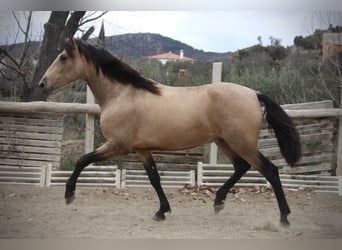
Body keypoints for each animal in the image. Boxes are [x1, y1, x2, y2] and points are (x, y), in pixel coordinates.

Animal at [38, 38, 302, 226]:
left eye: (63, 57)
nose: (42, 83)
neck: (122, 95)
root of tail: (254, 94)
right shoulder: (142, 149)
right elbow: (154, 178)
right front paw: (162, 211)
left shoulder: (118, 145)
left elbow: (82, 160)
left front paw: (69, 195)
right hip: (224, 141)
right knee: (241, 167)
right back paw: (218, 202)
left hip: (242, 143)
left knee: (270, 170)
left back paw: (284, 217)